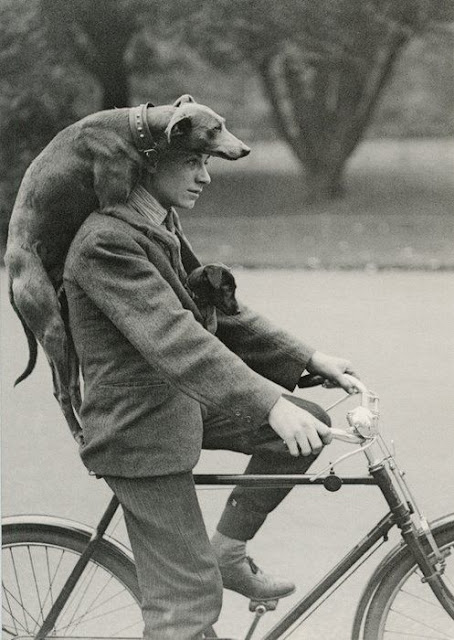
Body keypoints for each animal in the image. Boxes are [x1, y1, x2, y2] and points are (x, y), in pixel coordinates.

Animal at [5, 95, 250, 442]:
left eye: (223, 123)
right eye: (214, 129)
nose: (245, 150)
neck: (135, 130)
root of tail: (11, 274)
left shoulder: (163, 213)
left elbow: (173, 230)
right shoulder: (112, 205)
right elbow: (167, 238)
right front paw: (177, 264)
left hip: (64, 334)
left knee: (67, 385)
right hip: (52, 327)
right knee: (63, 391)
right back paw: (80, 432)